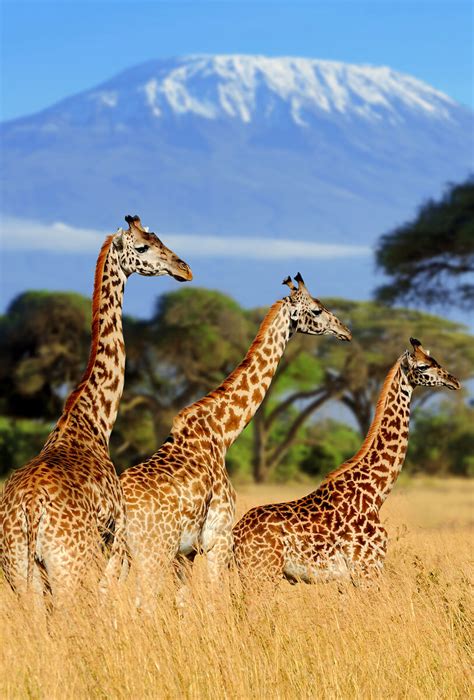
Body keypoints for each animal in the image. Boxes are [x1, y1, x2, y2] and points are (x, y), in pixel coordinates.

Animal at [0, 215, 192, 603]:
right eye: (143, 246)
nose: (185, 269)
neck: (93, 420)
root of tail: (30, 508)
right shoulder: (116, 540)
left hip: (20, 572)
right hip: (69, 568)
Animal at [120, 273, 352, 607]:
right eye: (317, 310)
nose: (345, 331)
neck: (222, 433)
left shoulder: (186, 552)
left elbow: (183, 602)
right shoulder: (217, 538)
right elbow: (215, 599)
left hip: (118, 554)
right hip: (153, 551)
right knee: (143, 603)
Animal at [233, 338, 460, 587]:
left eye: (435, 360)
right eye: (422, 366)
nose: (454, 381)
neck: (375, 493)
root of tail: (235, 535)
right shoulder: (367, 568)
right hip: (261, 573)